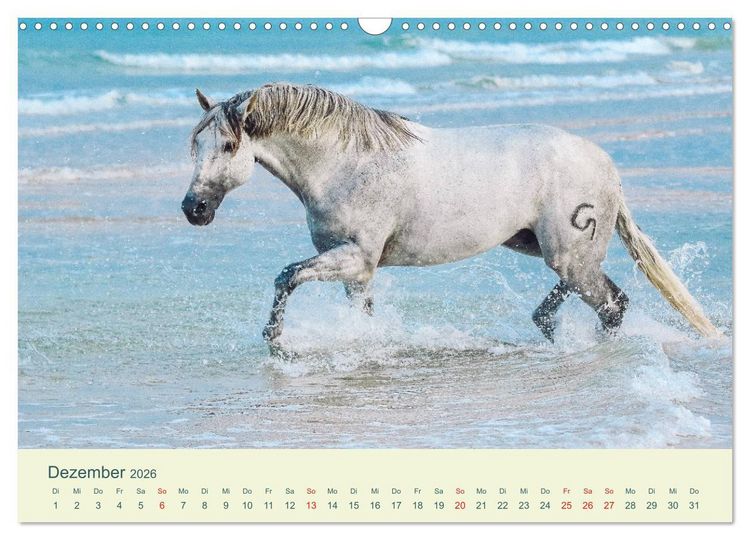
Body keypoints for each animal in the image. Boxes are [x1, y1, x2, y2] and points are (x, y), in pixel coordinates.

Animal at [181, 82, 721, 344]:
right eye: (195, 145)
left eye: (228, 145)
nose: (194, 208)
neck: (345, 162)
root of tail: (606, 164)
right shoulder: (357, 270)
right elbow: (358, 313)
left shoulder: (356, 257)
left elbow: (286, 276)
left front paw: (274, 340)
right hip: (541, 247)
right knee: (601, 298)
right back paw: (549, 328)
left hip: (569, 252)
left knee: (610, 303)